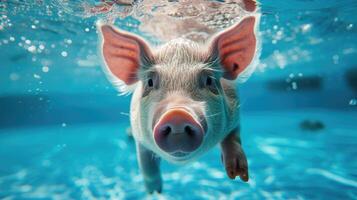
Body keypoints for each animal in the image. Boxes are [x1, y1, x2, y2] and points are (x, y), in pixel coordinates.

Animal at [96, 1, 258, 194]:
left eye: (209, 80)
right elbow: (146, 163)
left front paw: (239, 175)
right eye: (150, 81)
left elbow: (233, 138)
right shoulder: (138, 134)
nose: (177, 115)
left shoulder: (234, 111)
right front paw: (155, 192)